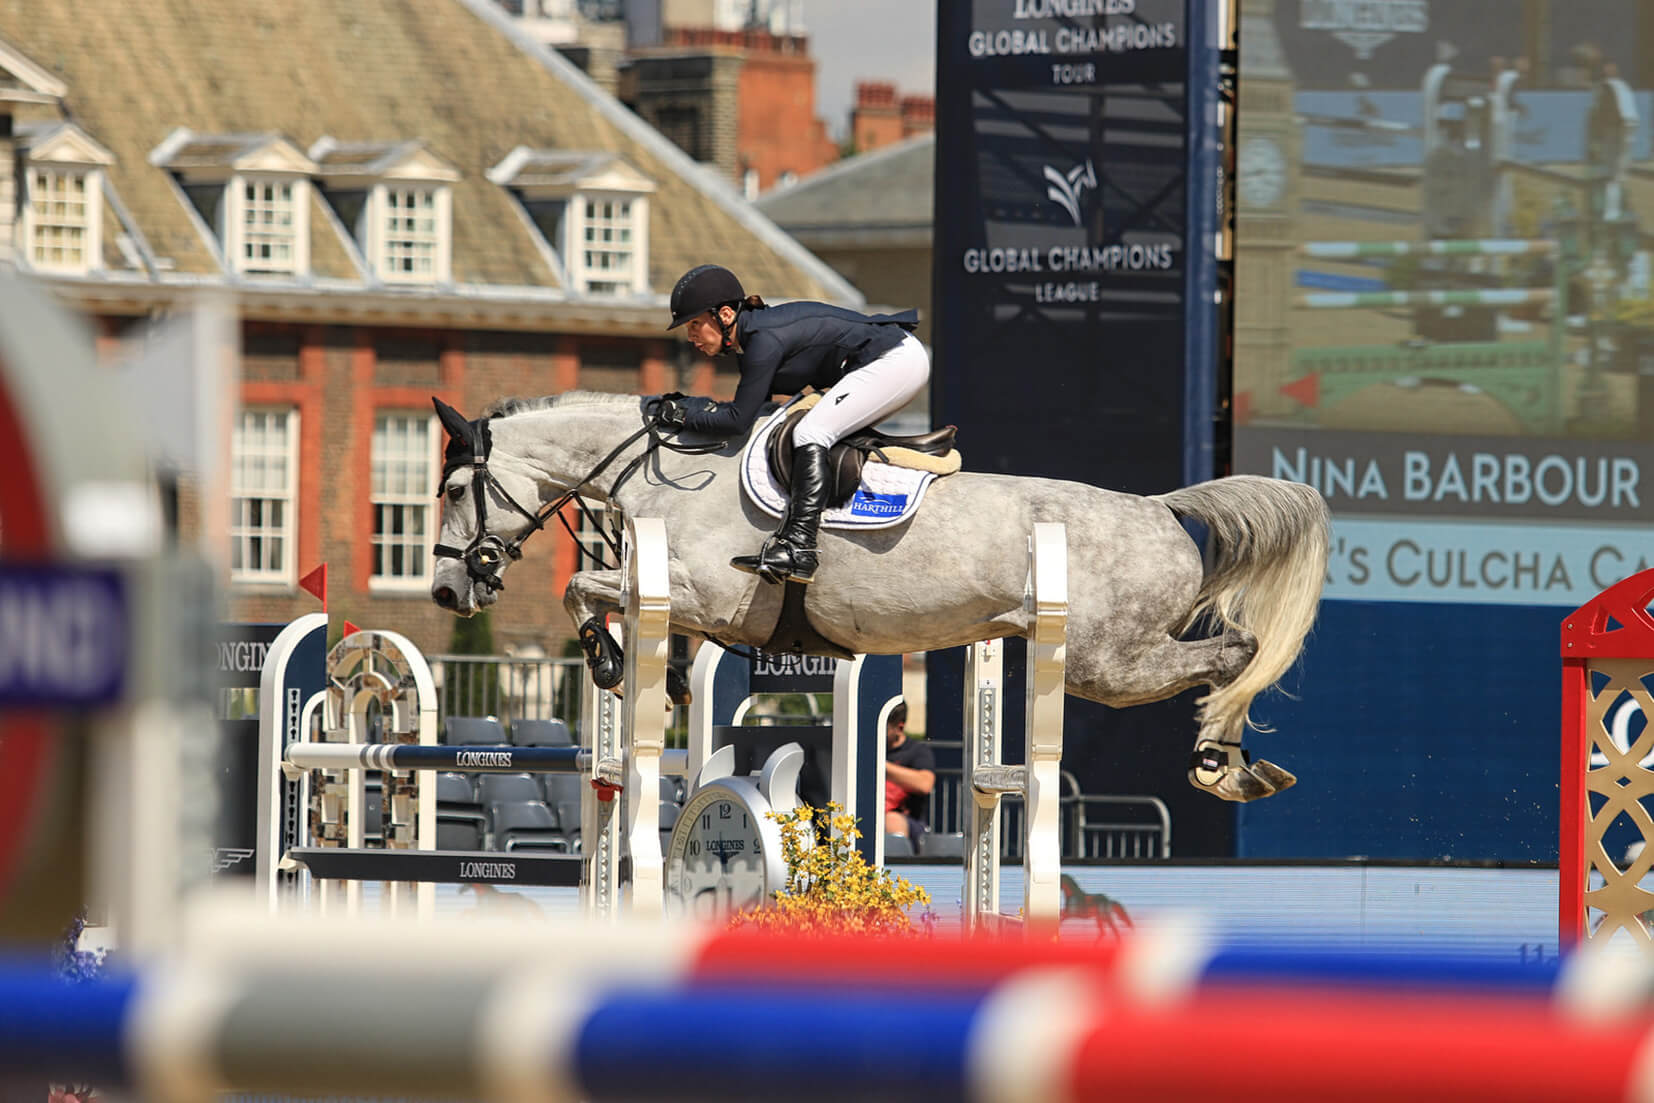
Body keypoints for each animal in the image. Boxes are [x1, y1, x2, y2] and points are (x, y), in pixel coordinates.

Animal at [426, 391, 1329, 797]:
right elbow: (614, 606)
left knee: (1235, 652)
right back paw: (1239, 766)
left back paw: (1219, 762)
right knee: (1230, 656)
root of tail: (1160, 507)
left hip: (1106, 661)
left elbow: (583, 589)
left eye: (455, 489)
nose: (443, 588)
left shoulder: (696, 590)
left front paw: (611, 661)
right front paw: (659, 675)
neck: (662, 471)